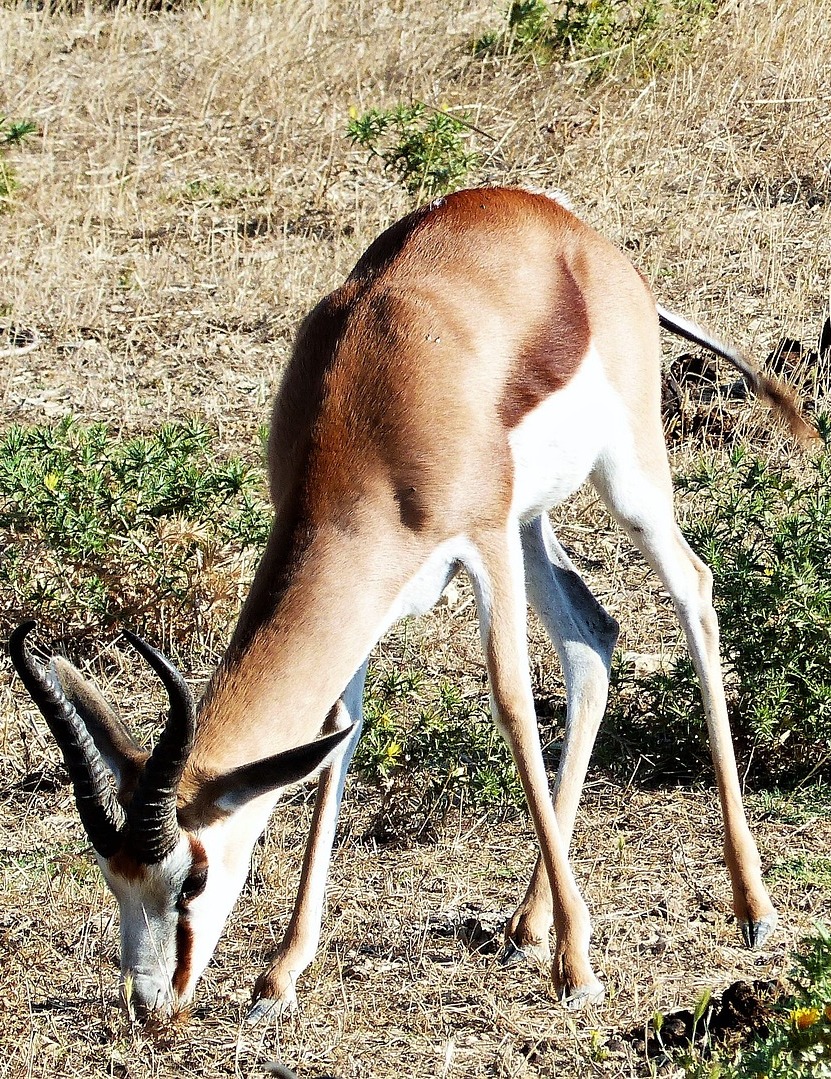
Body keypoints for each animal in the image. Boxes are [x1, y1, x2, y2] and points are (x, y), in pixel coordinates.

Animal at [8, 187, 811, 1018]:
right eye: (112, 877)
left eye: (191, 877)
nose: (148, 1003)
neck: (374, 399)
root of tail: (581, 238)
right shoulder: (375, 585)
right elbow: (338, 731)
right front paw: (279, 975)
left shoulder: (482, 544)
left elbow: (512, 702)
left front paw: (579, 970)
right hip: (532, 523)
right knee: (592, 633)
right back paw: (527, 922)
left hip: (623, 486)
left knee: (694, 590)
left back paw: (750, 908)